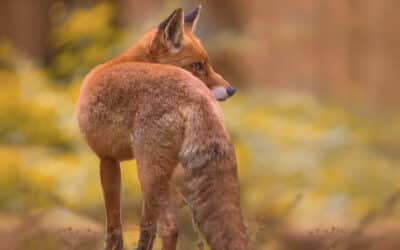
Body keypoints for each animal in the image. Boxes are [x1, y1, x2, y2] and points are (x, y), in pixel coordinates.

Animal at [76, 5, 248, 250]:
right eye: (197, 65)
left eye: (207, 64)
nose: (232, 90)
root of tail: (197, 97)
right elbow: (145, 227)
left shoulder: (106, 158)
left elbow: (114, 229)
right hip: (170, 176)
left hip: (148, 172)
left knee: (170, 227)